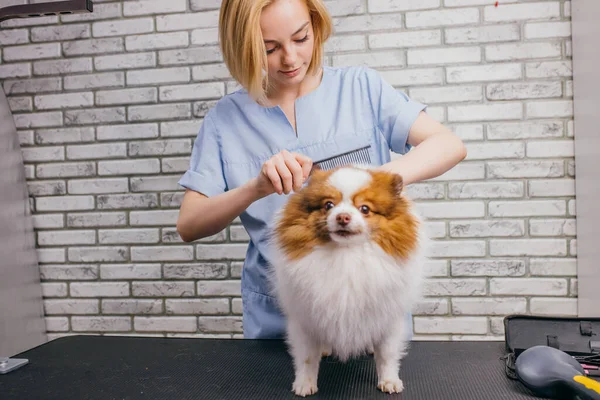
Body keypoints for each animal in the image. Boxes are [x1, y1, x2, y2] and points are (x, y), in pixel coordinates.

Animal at [268, 164, 426, 396]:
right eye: (328, 205)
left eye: (365, 209)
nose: (342, 217)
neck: (346, 255)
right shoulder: (305, 319)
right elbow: (307, 358)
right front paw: (305, 383)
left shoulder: (388, 318)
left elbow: (386, 355)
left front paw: (389, 380)